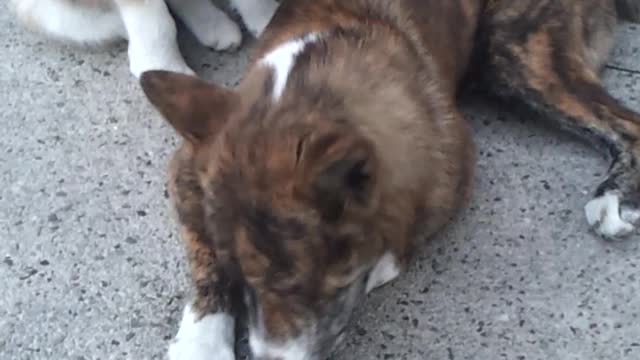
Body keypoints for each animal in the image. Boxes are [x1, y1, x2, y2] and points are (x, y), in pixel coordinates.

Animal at [139, 0, 640, 360]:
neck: (305, 92)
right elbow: (206, 261)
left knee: (626, 124)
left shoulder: (450, 170)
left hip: (515, 49)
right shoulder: (187, 168)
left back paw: (615, 196)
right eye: (243, 279)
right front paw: (202, 342)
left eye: (298, 284)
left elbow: (393, 241)